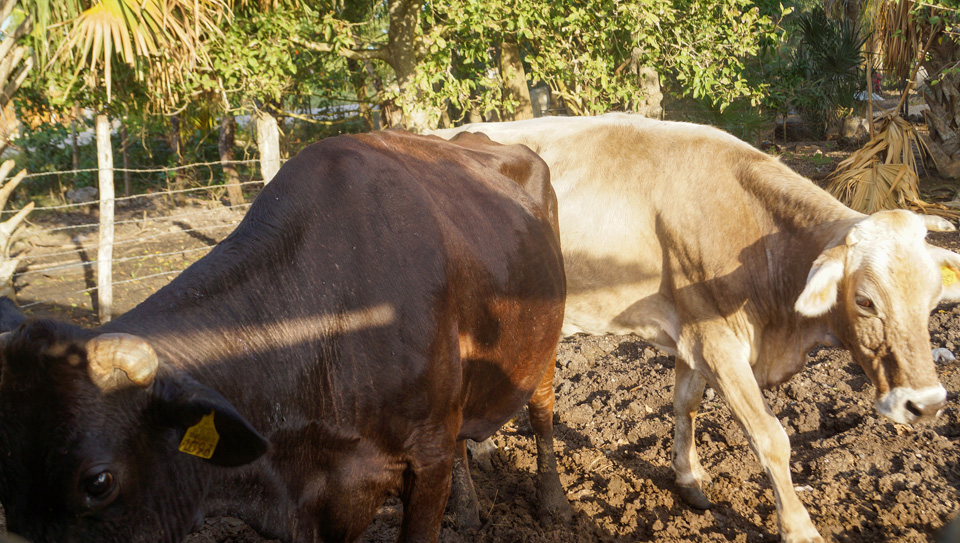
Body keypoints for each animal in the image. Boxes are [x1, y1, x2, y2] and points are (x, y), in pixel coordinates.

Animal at [0, 131, 568, 543]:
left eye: (98, 482)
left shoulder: (426, 457)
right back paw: (469, 512)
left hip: (545, 346)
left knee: (541, 412)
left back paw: (553, 503)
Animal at [434, 112, 960, 540]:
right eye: (866, 301)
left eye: (934, 299)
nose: (926, 404)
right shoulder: (718, 342)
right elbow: (770, 436)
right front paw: (799, 528)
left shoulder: (694, 332)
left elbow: (685, 403)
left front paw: (688, 478)